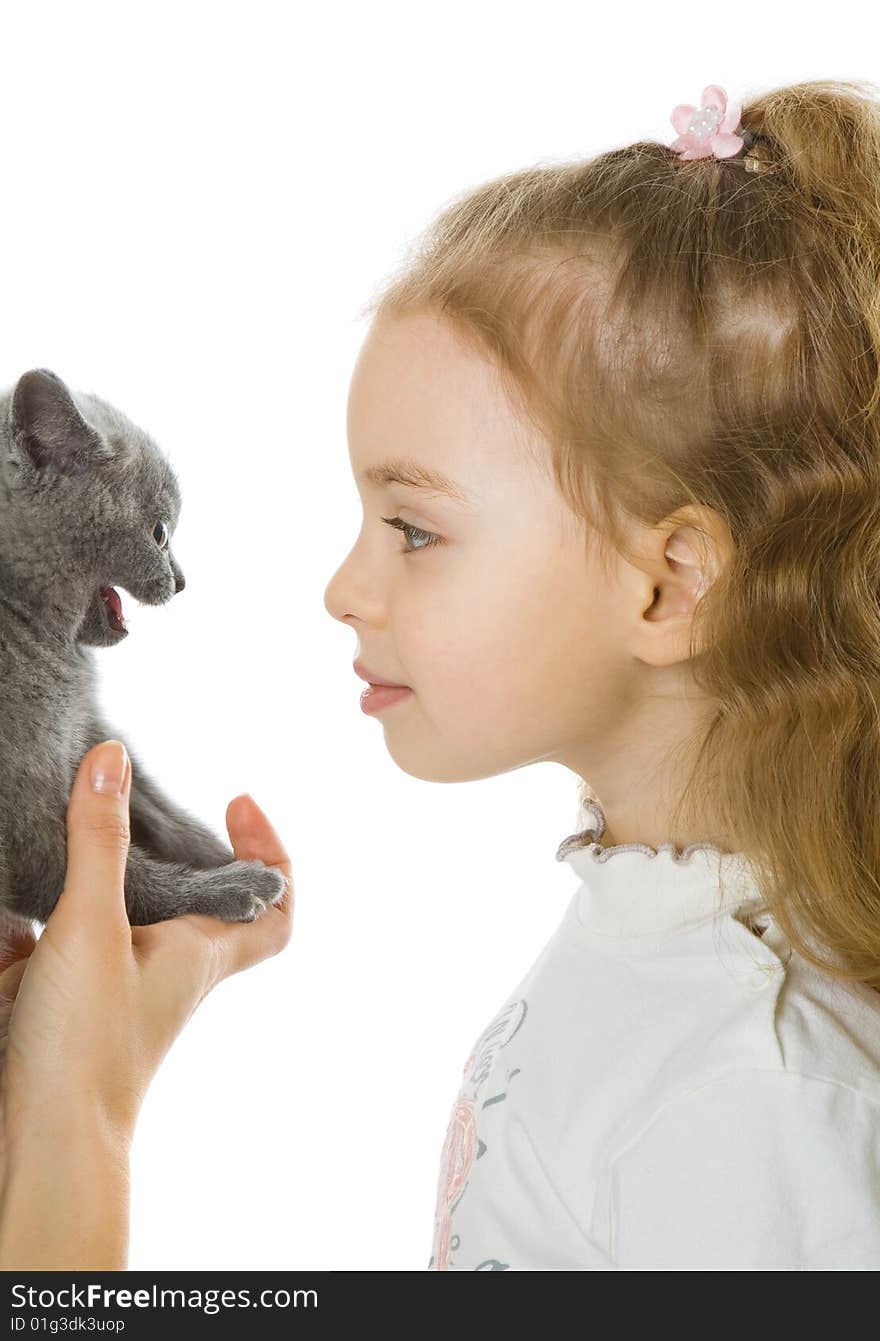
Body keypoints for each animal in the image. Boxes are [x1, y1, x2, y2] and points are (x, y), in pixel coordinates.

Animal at [0, 367, 285, 933]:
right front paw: (229, 888)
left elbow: (150, 800)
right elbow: (118, 883)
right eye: (159, 532)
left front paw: (213, 852)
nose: (182, 581)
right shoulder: (22, 817)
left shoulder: (88, 729)